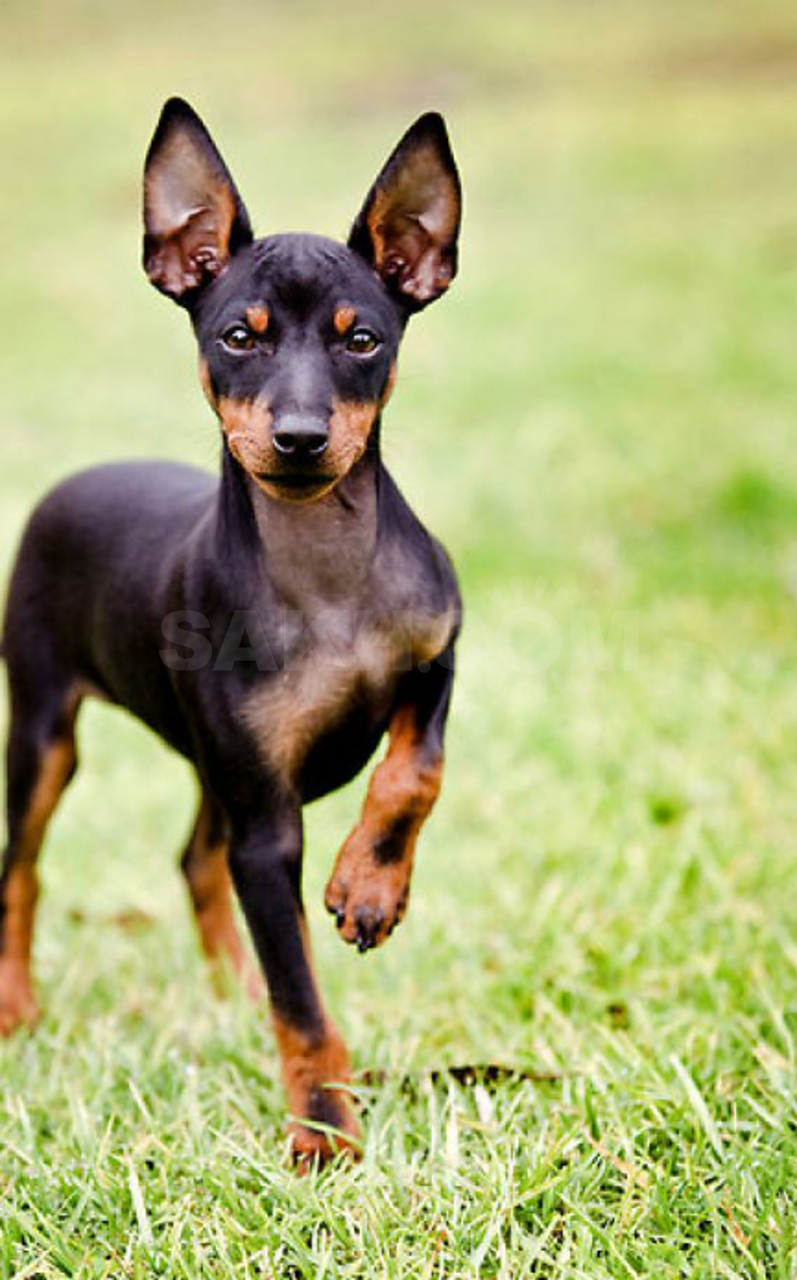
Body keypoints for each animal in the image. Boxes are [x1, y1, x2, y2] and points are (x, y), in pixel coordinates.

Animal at [0, 98, 462, 1165]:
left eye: (362, 340)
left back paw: (233, 987)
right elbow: (304, 1000)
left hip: (216, 763)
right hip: (48, 734)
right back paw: (16, 1005)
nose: (298, 438)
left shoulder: (437, 656)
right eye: (236, 339)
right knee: (22, 876)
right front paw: (323, 1126)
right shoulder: (266, 826)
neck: (326, 574)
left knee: (193, 861)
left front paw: (369, 886)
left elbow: (414, 768)